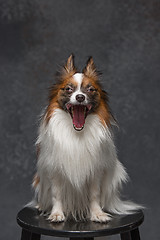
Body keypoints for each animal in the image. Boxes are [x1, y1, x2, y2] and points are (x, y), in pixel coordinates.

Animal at [31, 55, 142, 222]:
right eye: (69, 89)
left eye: (90, 89)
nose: (80, 97)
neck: (77, 132)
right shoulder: (55, 170)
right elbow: (56, 194)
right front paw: (57, 213)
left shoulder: (94, 172)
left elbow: (94, 195)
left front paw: (97, 213)